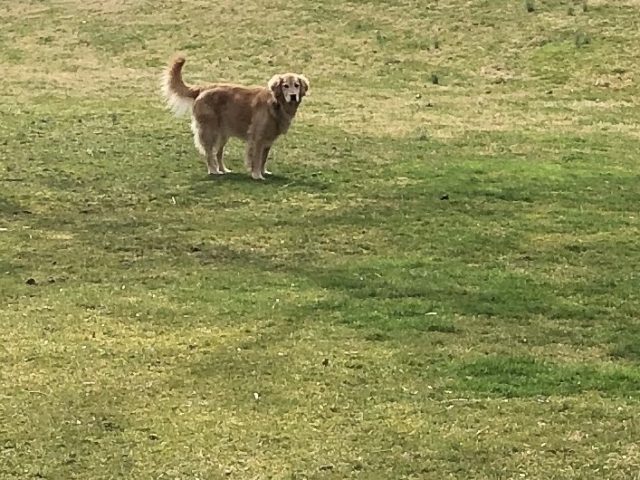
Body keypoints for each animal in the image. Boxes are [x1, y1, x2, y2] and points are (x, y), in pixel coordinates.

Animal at [161, 55, 308, 180]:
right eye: (285, 86)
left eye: (297, 85)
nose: (293, 96)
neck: (276, 103)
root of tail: (203, 88)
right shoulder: (257, 138)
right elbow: (256, 159)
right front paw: (257, 175)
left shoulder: (268, 140)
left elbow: (264, 159)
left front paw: (263, 171)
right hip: (209, 131)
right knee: (209, 152)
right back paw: (213, 170)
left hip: (223, 134)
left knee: (218, 153)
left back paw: (224, 169)